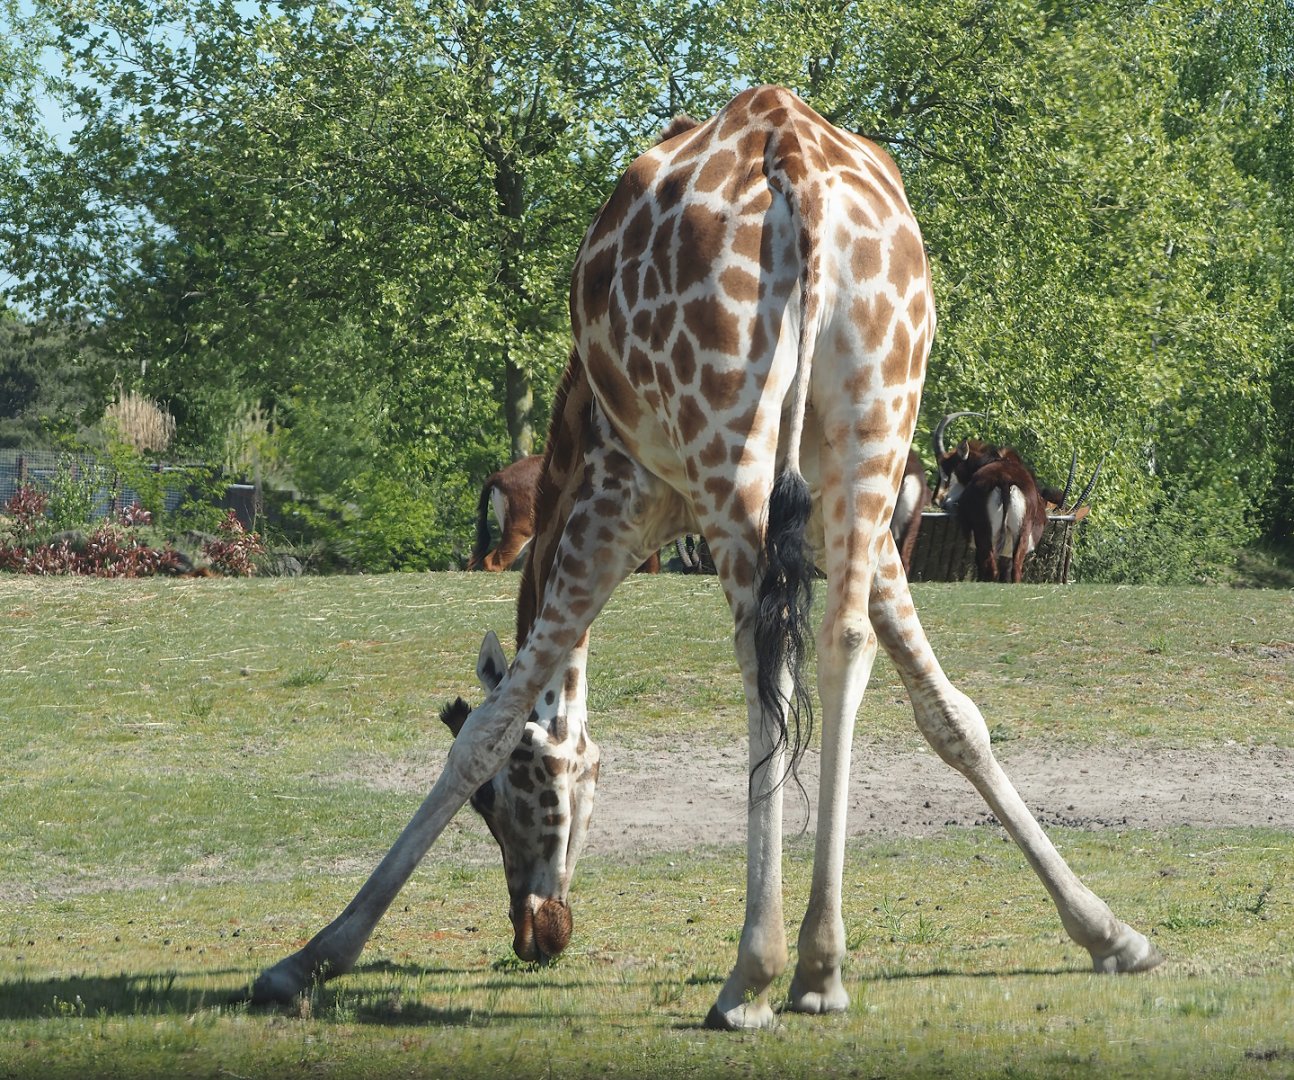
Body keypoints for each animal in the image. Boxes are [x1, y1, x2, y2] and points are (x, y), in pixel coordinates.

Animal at [250, 86, 1161, 1029]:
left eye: (505, 797)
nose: (541, 932)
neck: (572, 433)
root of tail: (798, 167)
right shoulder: (841, 518)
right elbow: (948, 713)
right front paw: (1109, 932)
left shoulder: (615, 500)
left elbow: (490, 721)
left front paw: (309, 958)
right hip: (873, 422)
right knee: (837, 642)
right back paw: (820, 969)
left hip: (732, 444)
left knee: (764, 659)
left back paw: (753, 973)